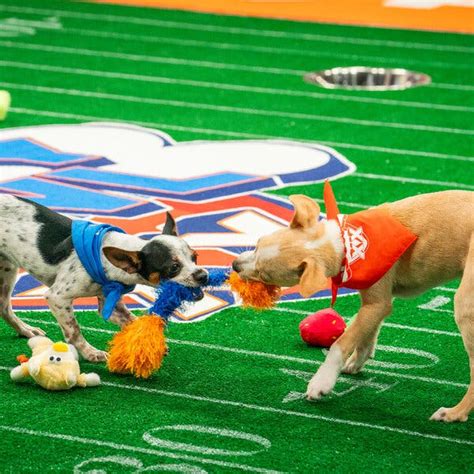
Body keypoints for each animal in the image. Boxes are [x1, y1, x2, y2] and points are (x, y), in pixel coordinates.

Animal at [0, 194, 207, 362]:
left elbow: (133, 321)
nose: (203, 275)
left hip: (7, 270)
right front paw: (90, 353)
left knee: (4, 307)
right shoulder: (57, 297)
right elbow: (74, 331)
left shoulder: (110, 303)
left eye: (195, 257)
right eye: (173, 267)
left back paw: (25, 329)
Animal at [233, 189, 474, 422]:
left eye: (264, 274)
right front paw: (357, 362)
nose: (234, 265)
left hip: (463, 304)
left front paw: (322, 382)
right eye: (258, 242)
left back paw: (454, 413)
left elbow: (341, 342)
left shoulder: (377, 303)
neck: (346, 244)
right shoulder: (376, 303)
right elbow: (366, 334)